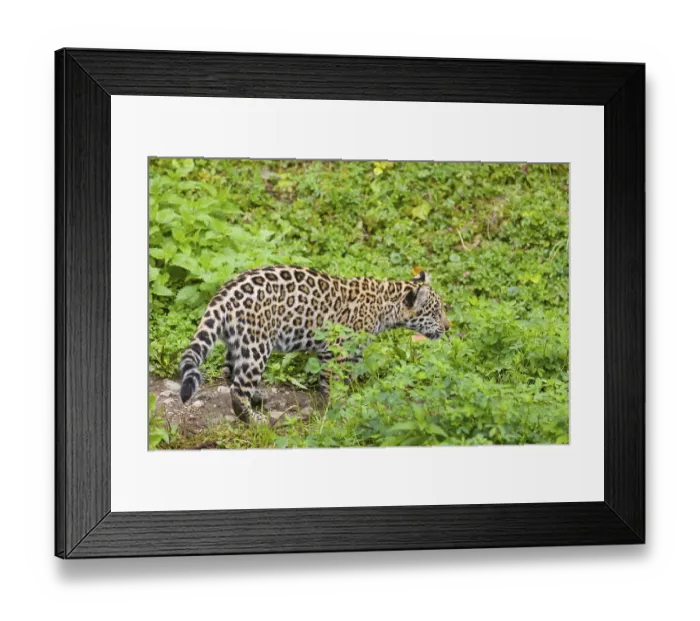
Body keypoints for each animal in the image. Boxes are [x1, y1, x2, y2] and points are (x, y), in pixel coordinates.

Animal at [178, 265, 450, 423]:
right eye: (436, 312)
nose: (449, 327)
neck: (385, 305)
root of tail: (222, 296)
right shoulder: (335, 350)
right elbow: (334, 381)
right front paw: (340, 406)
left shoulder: (353, 351)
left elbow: (351, 376)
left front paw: (355, 397)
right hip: (258, 344)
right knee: (238, 387)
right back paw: (254, 419)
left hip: (238, 342)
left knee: (230, 371)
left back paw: (257, 397)